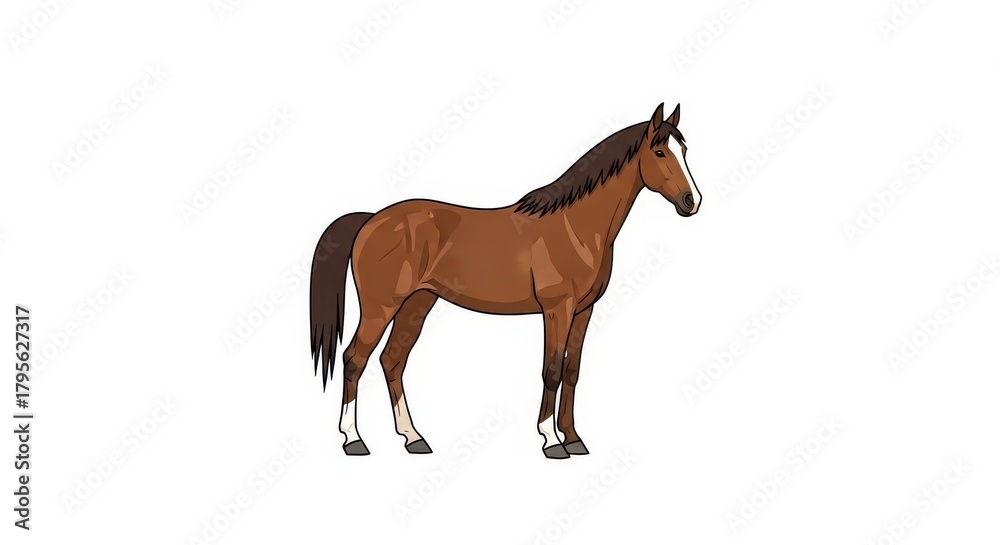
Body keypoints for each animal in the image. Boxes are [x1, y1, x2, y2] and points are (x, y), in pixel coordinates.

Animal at [310, 103, 701, 459]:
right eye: (660, 151)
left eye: (684, 150)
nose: (691, 201)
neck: (575, 225)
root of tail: (371, 219)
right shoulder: (557, 308)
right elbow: (551, 370)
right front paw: (551, 441)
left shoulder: (584, 310)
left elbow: (572, 370)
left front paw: (574, 439)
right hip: (381, 307)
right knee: (354, 359)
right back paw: (353, 440)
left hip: (417, 303)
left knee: (392, 360)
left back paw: (413, 438)